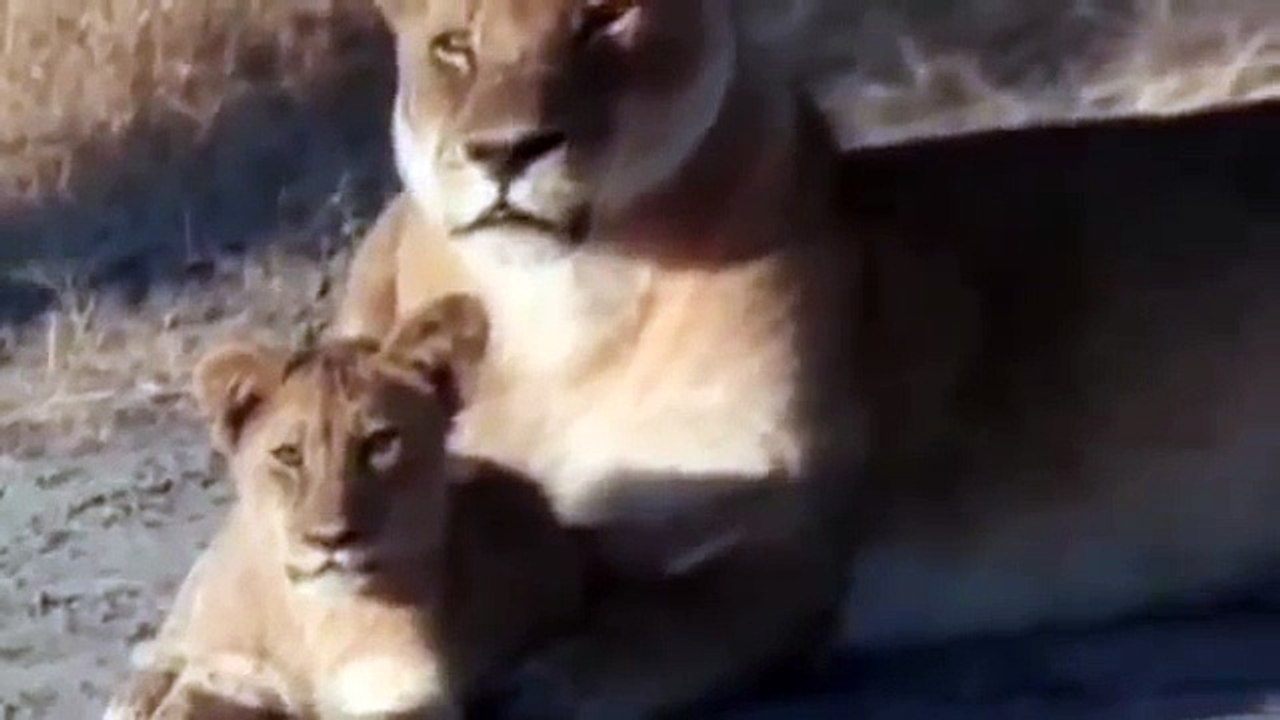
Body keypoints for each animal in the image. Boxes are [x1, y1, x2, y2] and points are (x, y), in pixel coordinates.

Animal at [105, 294, 586, 719]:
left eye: (381, 444)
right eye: (289, 455)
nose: (331, 540)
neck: (309, 624)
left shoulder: (404, 694)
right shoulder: (229, 677)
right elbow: (186, 701)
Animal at [336, 0, 1280, 716]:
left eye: (604, 19)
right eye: (453, 47)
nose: (507, 151)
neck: (562, 315)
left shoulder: (786, 548)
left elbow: (643, 636)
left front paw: (543, 678)